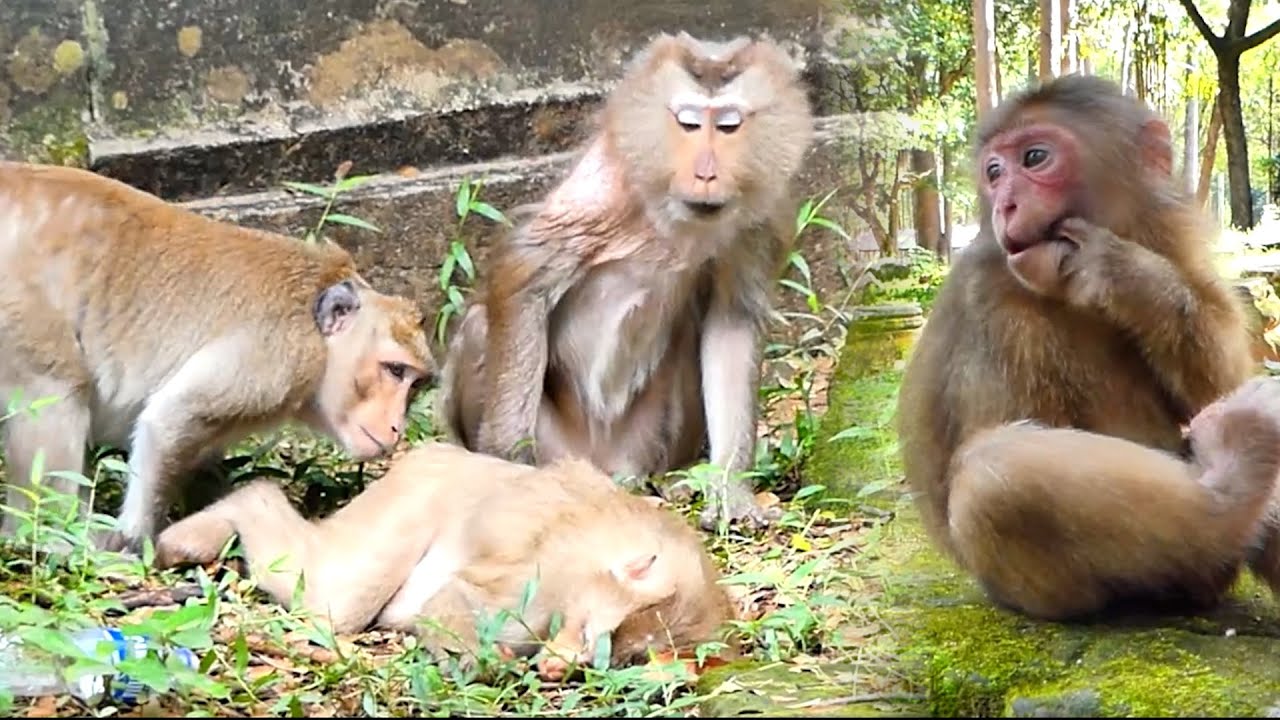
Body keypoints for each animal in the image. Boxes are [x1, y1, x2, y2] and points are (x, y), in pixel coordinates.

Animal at [0, 162, 436, 554]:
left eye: (415, 385)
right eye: (395, 370)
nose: (397, 427)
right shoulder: (277, 358)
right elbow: (168, 420)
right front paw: (134, 538)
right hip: (17, 308)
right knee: (55, 387)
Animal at [152, 441, 738, 679]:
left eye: (619, 659)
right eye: (604, 634)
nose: (565, 665)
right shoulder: (543, 581)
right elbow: (451, 603)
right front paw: (482, 662)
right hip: (413, 493)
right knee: (337, 599)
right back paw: (227, 513)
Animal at [433, 31, 815, 531]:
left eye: (729, 126)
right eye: (689, 124)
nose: (706, 172)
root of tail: (607, 467)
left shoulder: (758, 218)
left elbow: (731, 322)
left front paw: (731, 492)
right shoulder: (609, 186)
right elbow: (526, 272)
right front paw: (507, 469)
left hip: (645, 442)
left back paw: (674, 479)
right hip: (557, 446)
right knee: (481, 327)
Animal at [895, 74, 1280, 622]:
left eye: (1034, 158)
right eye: (995, 172)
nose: (1004, 204)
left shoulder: (1171, 241)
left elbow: (1214, 388)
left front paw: (1126, 275)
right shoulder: (995, 299)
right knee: (993, 481)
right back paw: (1233, 482)